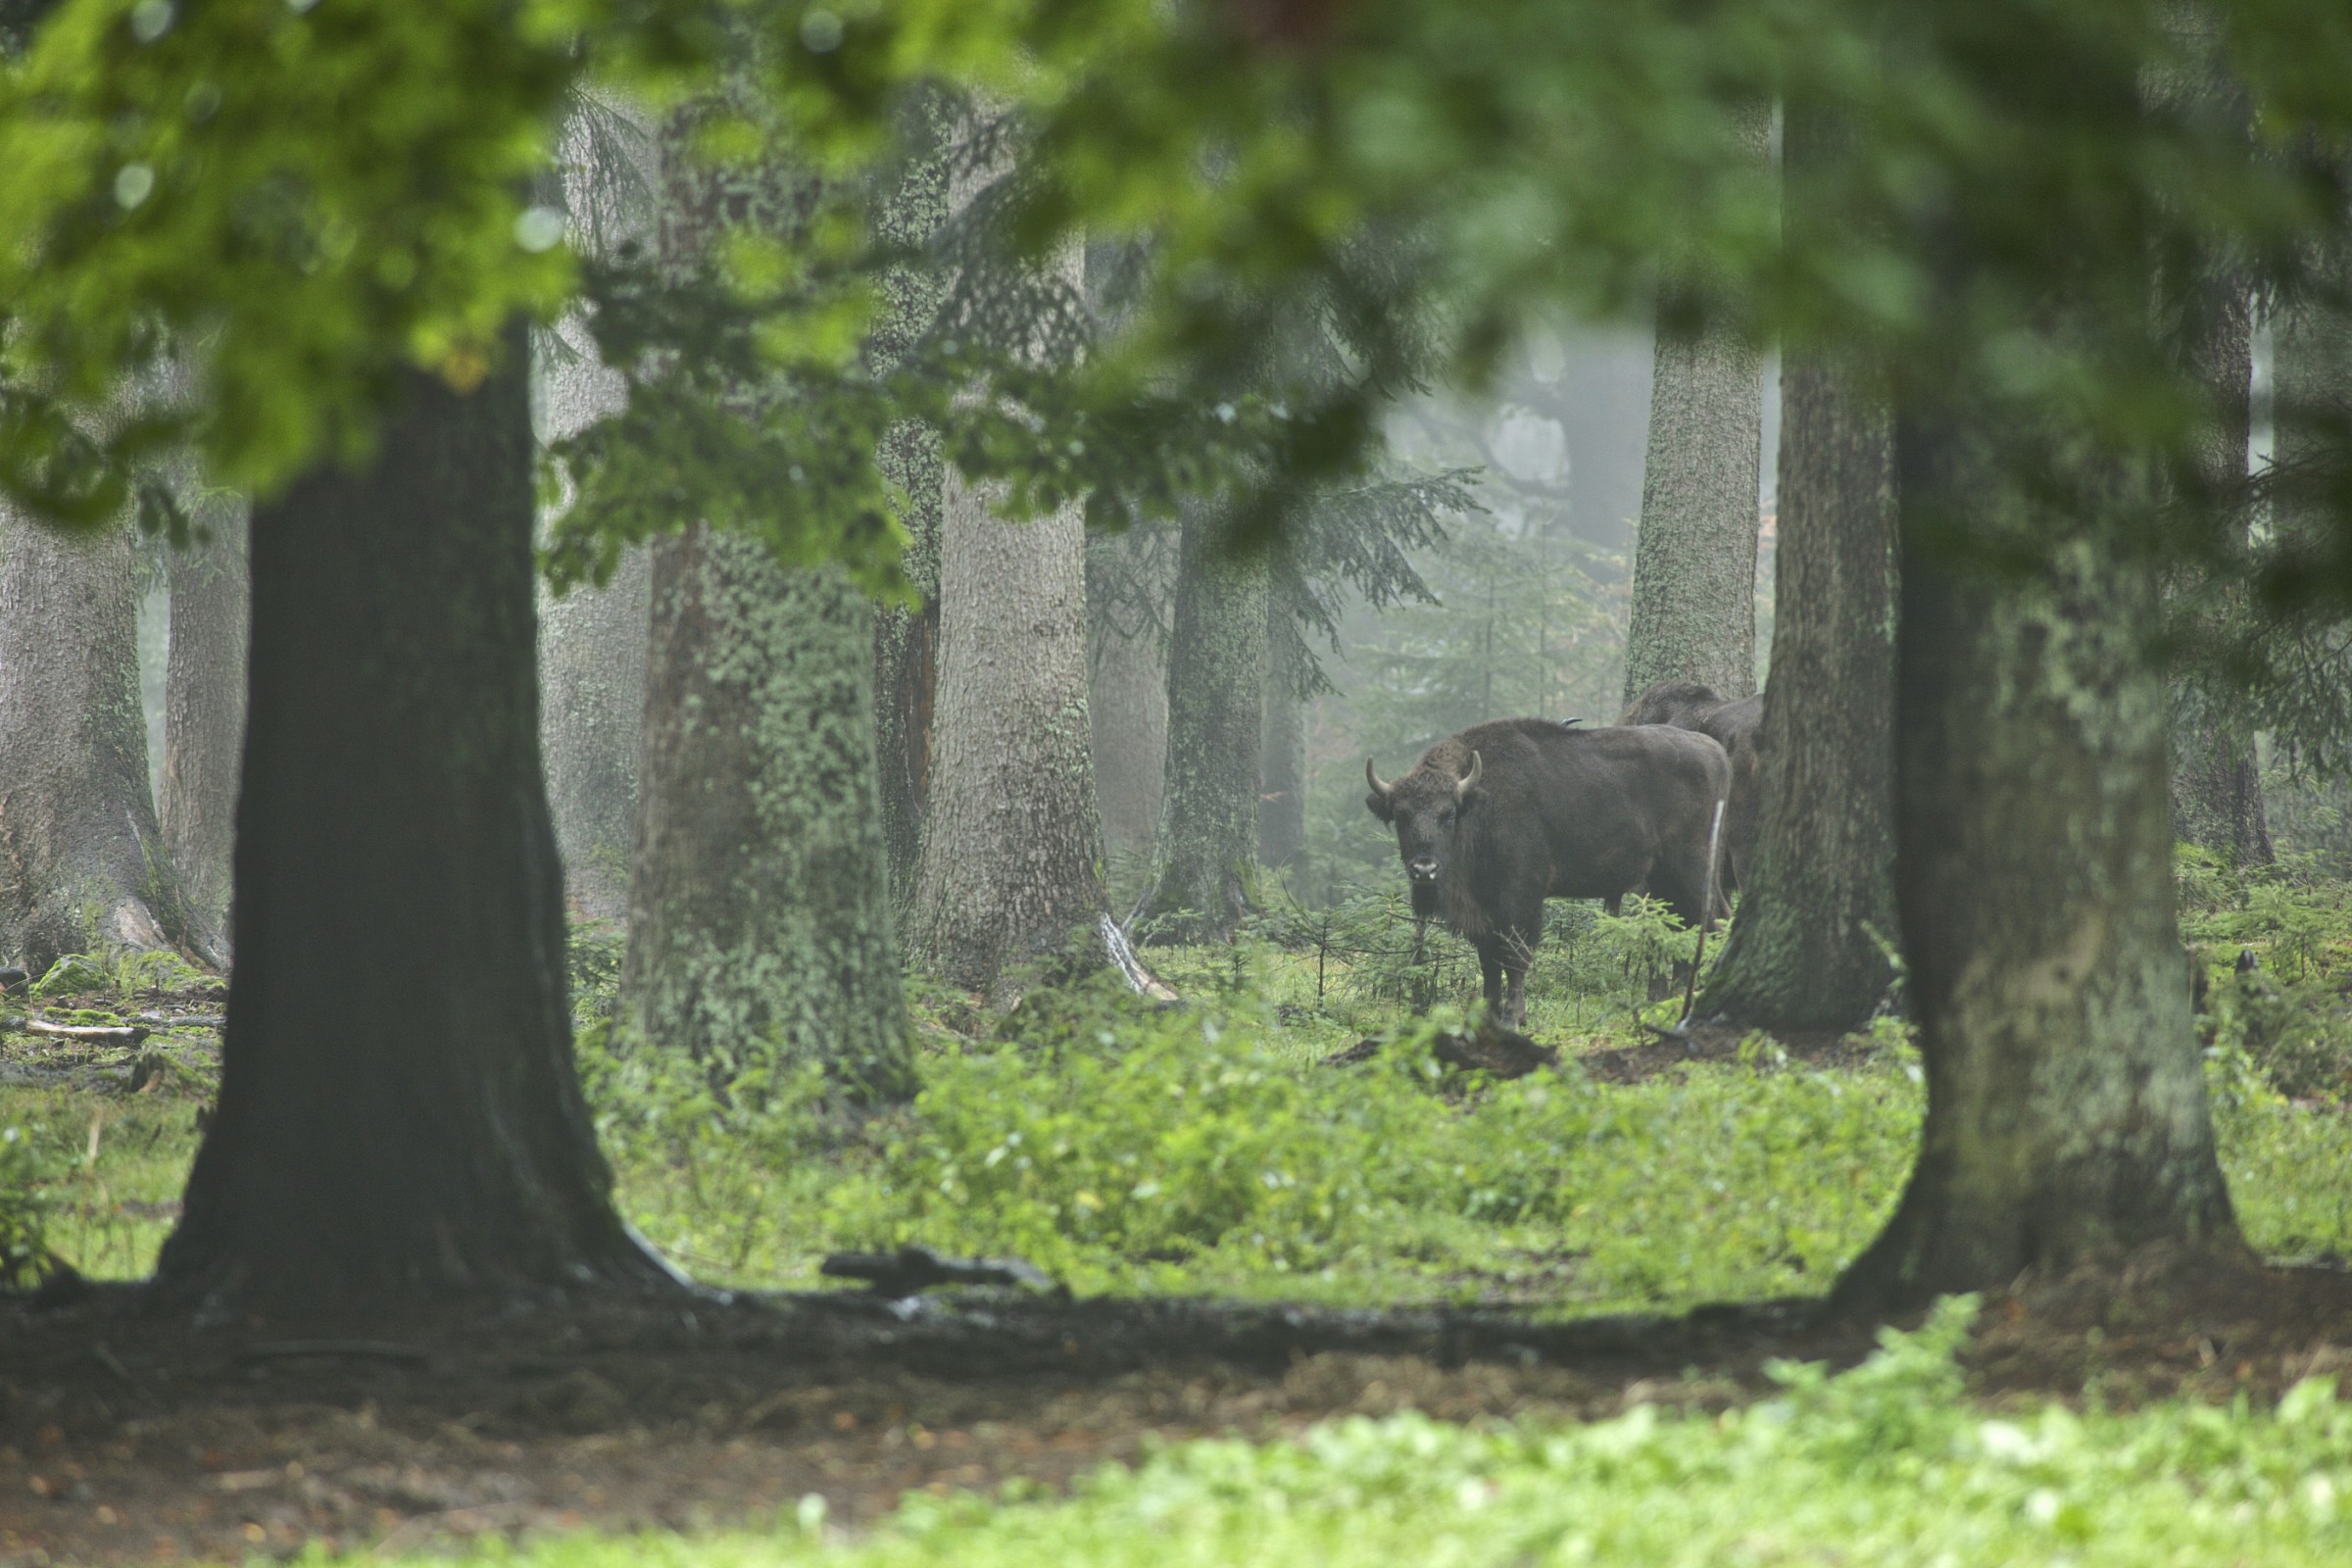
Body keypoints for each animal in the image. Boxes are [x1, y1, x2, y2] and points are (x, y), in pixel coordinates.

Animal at [1366, 718, 1732, 1027]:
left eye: (1448, 815)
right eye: (1401, 816)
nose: (1423, 870)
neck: (1480, 802)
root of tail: (1716, 752)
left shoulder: (1521, 896)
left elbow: (1515, 956)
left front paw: (1514, 1017)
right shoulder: (1485, 911)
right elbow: (1488, 962)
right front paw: (1488, 1016)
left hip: (1692, 869)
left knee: (1708, 921)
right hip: (1662, 879)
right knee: (1685, 927)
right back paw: (1667, 1000)